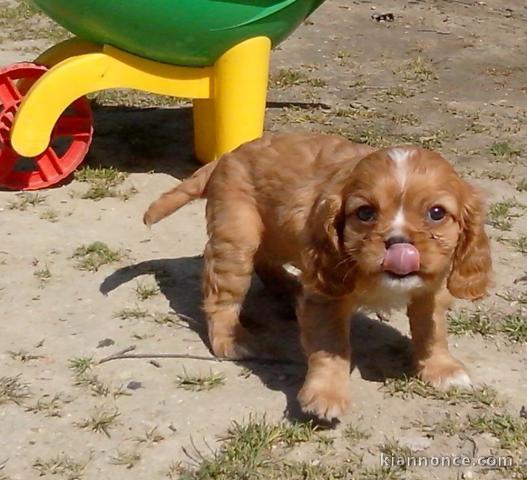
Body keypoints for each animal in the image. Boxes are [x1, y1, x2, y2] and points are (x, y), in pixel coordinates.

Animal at [142, 132, 492, 420]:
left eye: (437, 213)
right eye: (365, 213)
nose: (398, 243)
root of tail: (227, 156)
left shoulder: (430, 290)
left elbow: (432, 332)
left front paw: (441, 367)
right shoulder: (326, 297)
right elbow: (331, 347)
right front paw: (326, 396)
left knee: (266, 262)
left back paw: (288, 287)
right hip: (237, 240)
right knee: (222, 297)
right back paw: (232, 339)